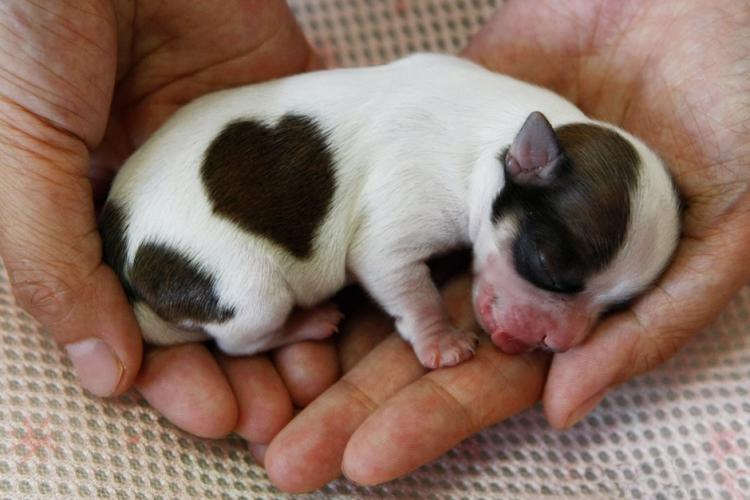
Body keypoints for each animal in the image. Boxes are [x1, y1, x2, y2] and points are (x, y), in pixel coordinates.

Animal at [98, 54, 680, 370]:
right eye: (546, 266)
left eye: (616, 306)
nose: (551, 343)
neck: (496, 134)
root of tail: (120, 250)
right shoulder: (399, 221)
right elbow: (408, 286)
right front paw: (442, 341)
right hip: (249, 291)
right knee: (242, 341)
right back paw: (305, 324)